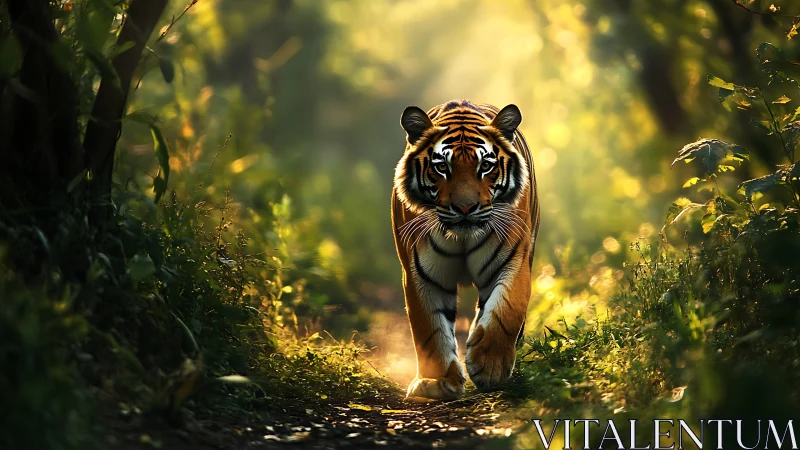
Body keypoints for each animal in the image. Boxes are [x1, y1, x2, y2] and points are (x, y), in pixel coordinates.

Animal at [391, 99, 540, 399]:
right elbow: (428, 327)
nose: (465, 207)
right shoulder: (421, 273)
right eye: (441, 167)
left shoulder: (514, 260)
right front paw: (436, 382)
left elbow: (507, 310)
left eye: (486, 166)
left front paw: (490, 367)